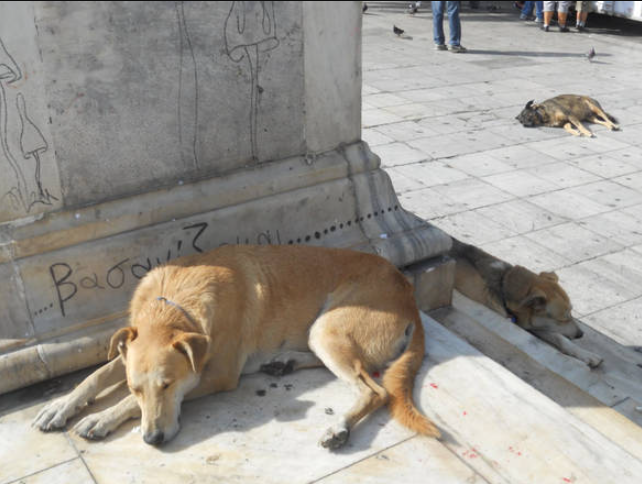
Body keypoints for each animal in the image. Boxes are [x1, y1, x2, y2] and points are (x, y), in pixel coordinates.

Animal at [32, 246, 438, 450]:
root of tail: (409, 293)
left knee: (375, 391)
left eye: (167, 385)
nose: (152, 440)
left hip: (327, 329)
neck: (175, 305)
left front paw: (102, 417)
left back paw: (338, 427)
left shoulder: (216, 374)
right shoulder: (129, 351)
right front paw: (59, 406)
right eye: (135, 386)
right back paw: (283, 361)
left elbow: (130, 403)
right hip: (319, 333)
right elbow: (96, 376)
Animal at [448, 240, 604, 368]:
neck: (503, 285)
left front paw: (586, 354)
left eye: (571, 312)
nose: (580, 334)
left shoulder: (532, 323)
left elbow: (560, 338)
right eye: (563, 319)